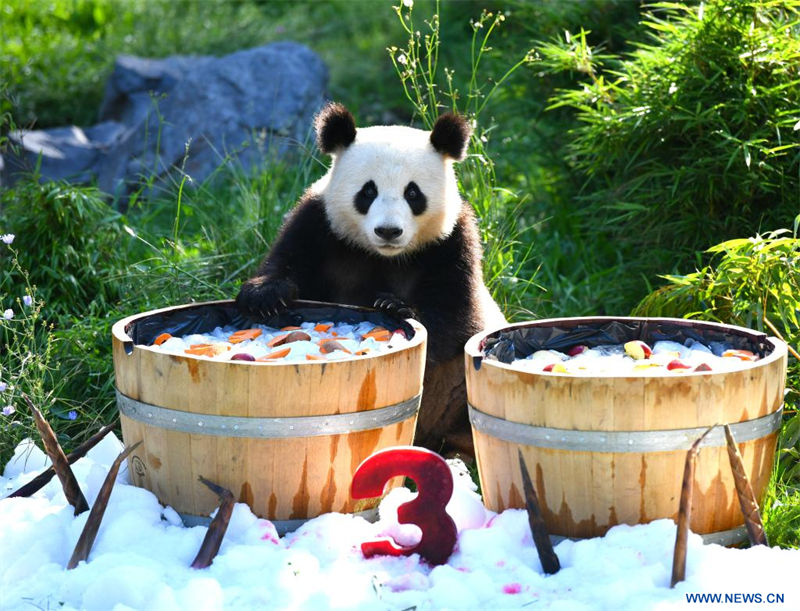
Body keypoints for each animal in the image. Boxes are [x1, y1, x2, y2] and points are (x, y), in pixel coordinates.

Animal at [234, 101, 504, 454]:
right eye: (368, 191)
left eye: (413, 193)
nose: (388, 231)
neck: (382, 255)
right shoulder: (319, 223)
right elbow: (286, 260)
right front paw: (264, 297)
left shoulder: (452, 242)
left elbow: (456, 315)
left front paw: (394, 307)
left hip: (461, 394)